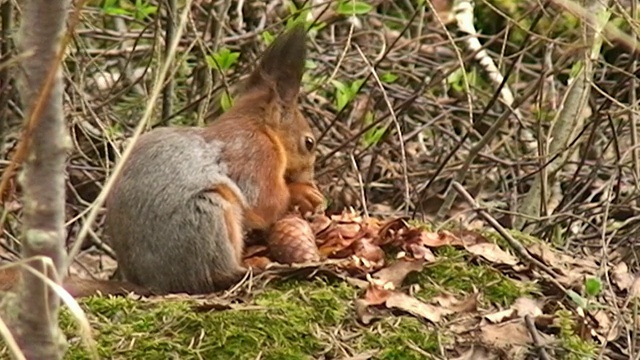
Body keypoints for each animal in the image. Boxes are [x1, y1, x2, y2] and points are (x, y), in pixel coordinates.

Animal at [1, 24, 324, 298]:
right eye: (309, 143)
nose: (309, 178)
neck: (258, 126)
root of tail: (151, 283)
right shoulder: (254, 153)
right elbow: (265, 201)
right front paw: (303, 194)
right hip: (209, 215)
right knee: (212, 276)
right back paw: (251, 267)